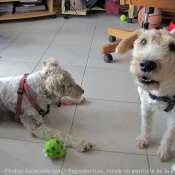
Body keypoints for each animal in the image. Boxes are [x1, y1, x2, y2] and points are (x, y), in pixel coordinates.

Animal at [116, 28, 175, 161]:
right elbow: (145, 124)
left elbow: (168, 135)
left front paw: (164, 152)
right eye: (143, 41)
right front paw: (143, 139)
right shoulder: (146, 105)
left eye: (173, 46)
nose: (147, 64)